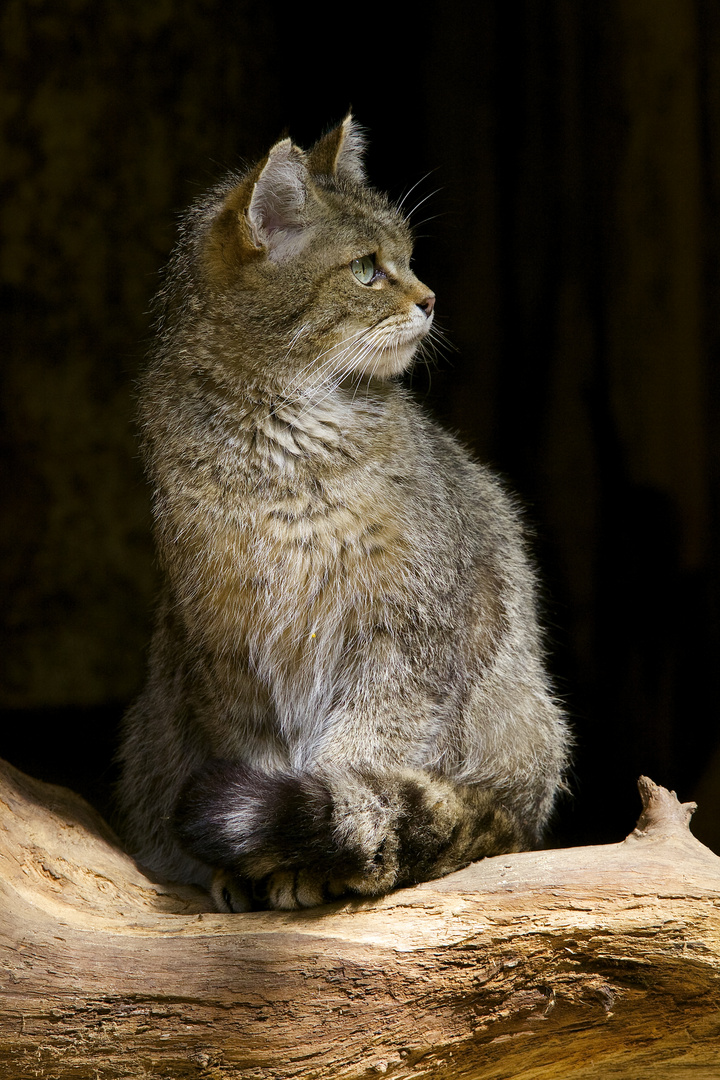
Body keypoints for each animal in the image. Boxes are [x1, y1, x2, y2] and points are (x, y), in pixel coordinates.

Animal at [117, 116, 569, 911]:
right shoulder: (227, 648)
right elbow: (260, 756)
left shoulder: (402, 636)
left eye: (410, 257)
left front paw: (309, 859)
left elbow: (363, 757)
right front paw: (250, 866)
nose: (430, 298)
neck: (282, 447)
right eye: (366, 269)